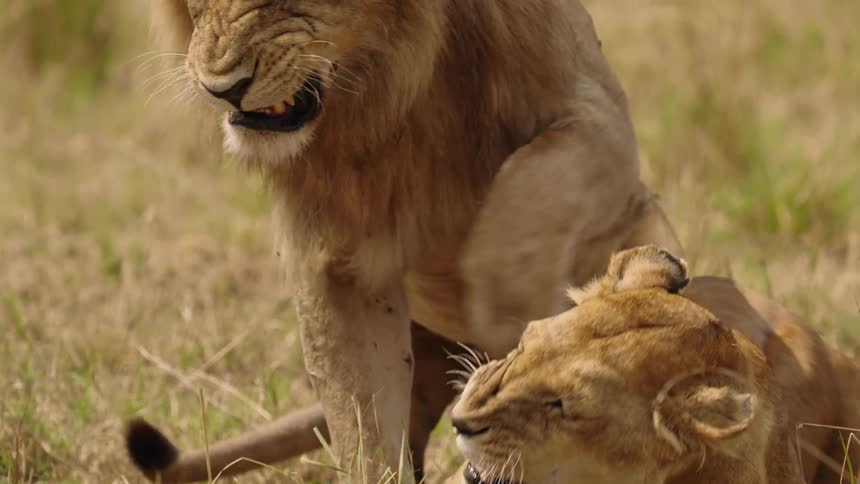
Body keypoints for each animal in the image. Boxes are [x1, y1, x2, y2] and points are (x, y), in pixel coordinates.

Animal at [127, 0, 684, 481]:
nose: (223, 89)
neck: (393, 88)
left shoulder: (599, 119)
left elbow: (534, 179)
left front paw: (516, 318)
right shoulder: (337, 262)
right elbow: (363, 422)